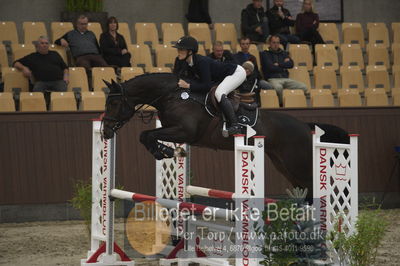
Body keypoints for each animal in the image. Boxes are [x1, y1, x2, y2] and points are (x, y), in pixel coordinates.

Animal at [101, 72, 348, 195]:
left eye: (113, 103)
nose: (104, 132)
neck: (172, 95)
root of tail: (305, 126)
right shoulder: (175, 130)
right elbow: (146, 135)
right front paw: (167, 152)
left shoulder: (184, 132)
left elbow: (147, 135)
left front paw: (166, 152)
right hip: (283, 165)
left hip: (297, 164)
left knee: (313, 186)